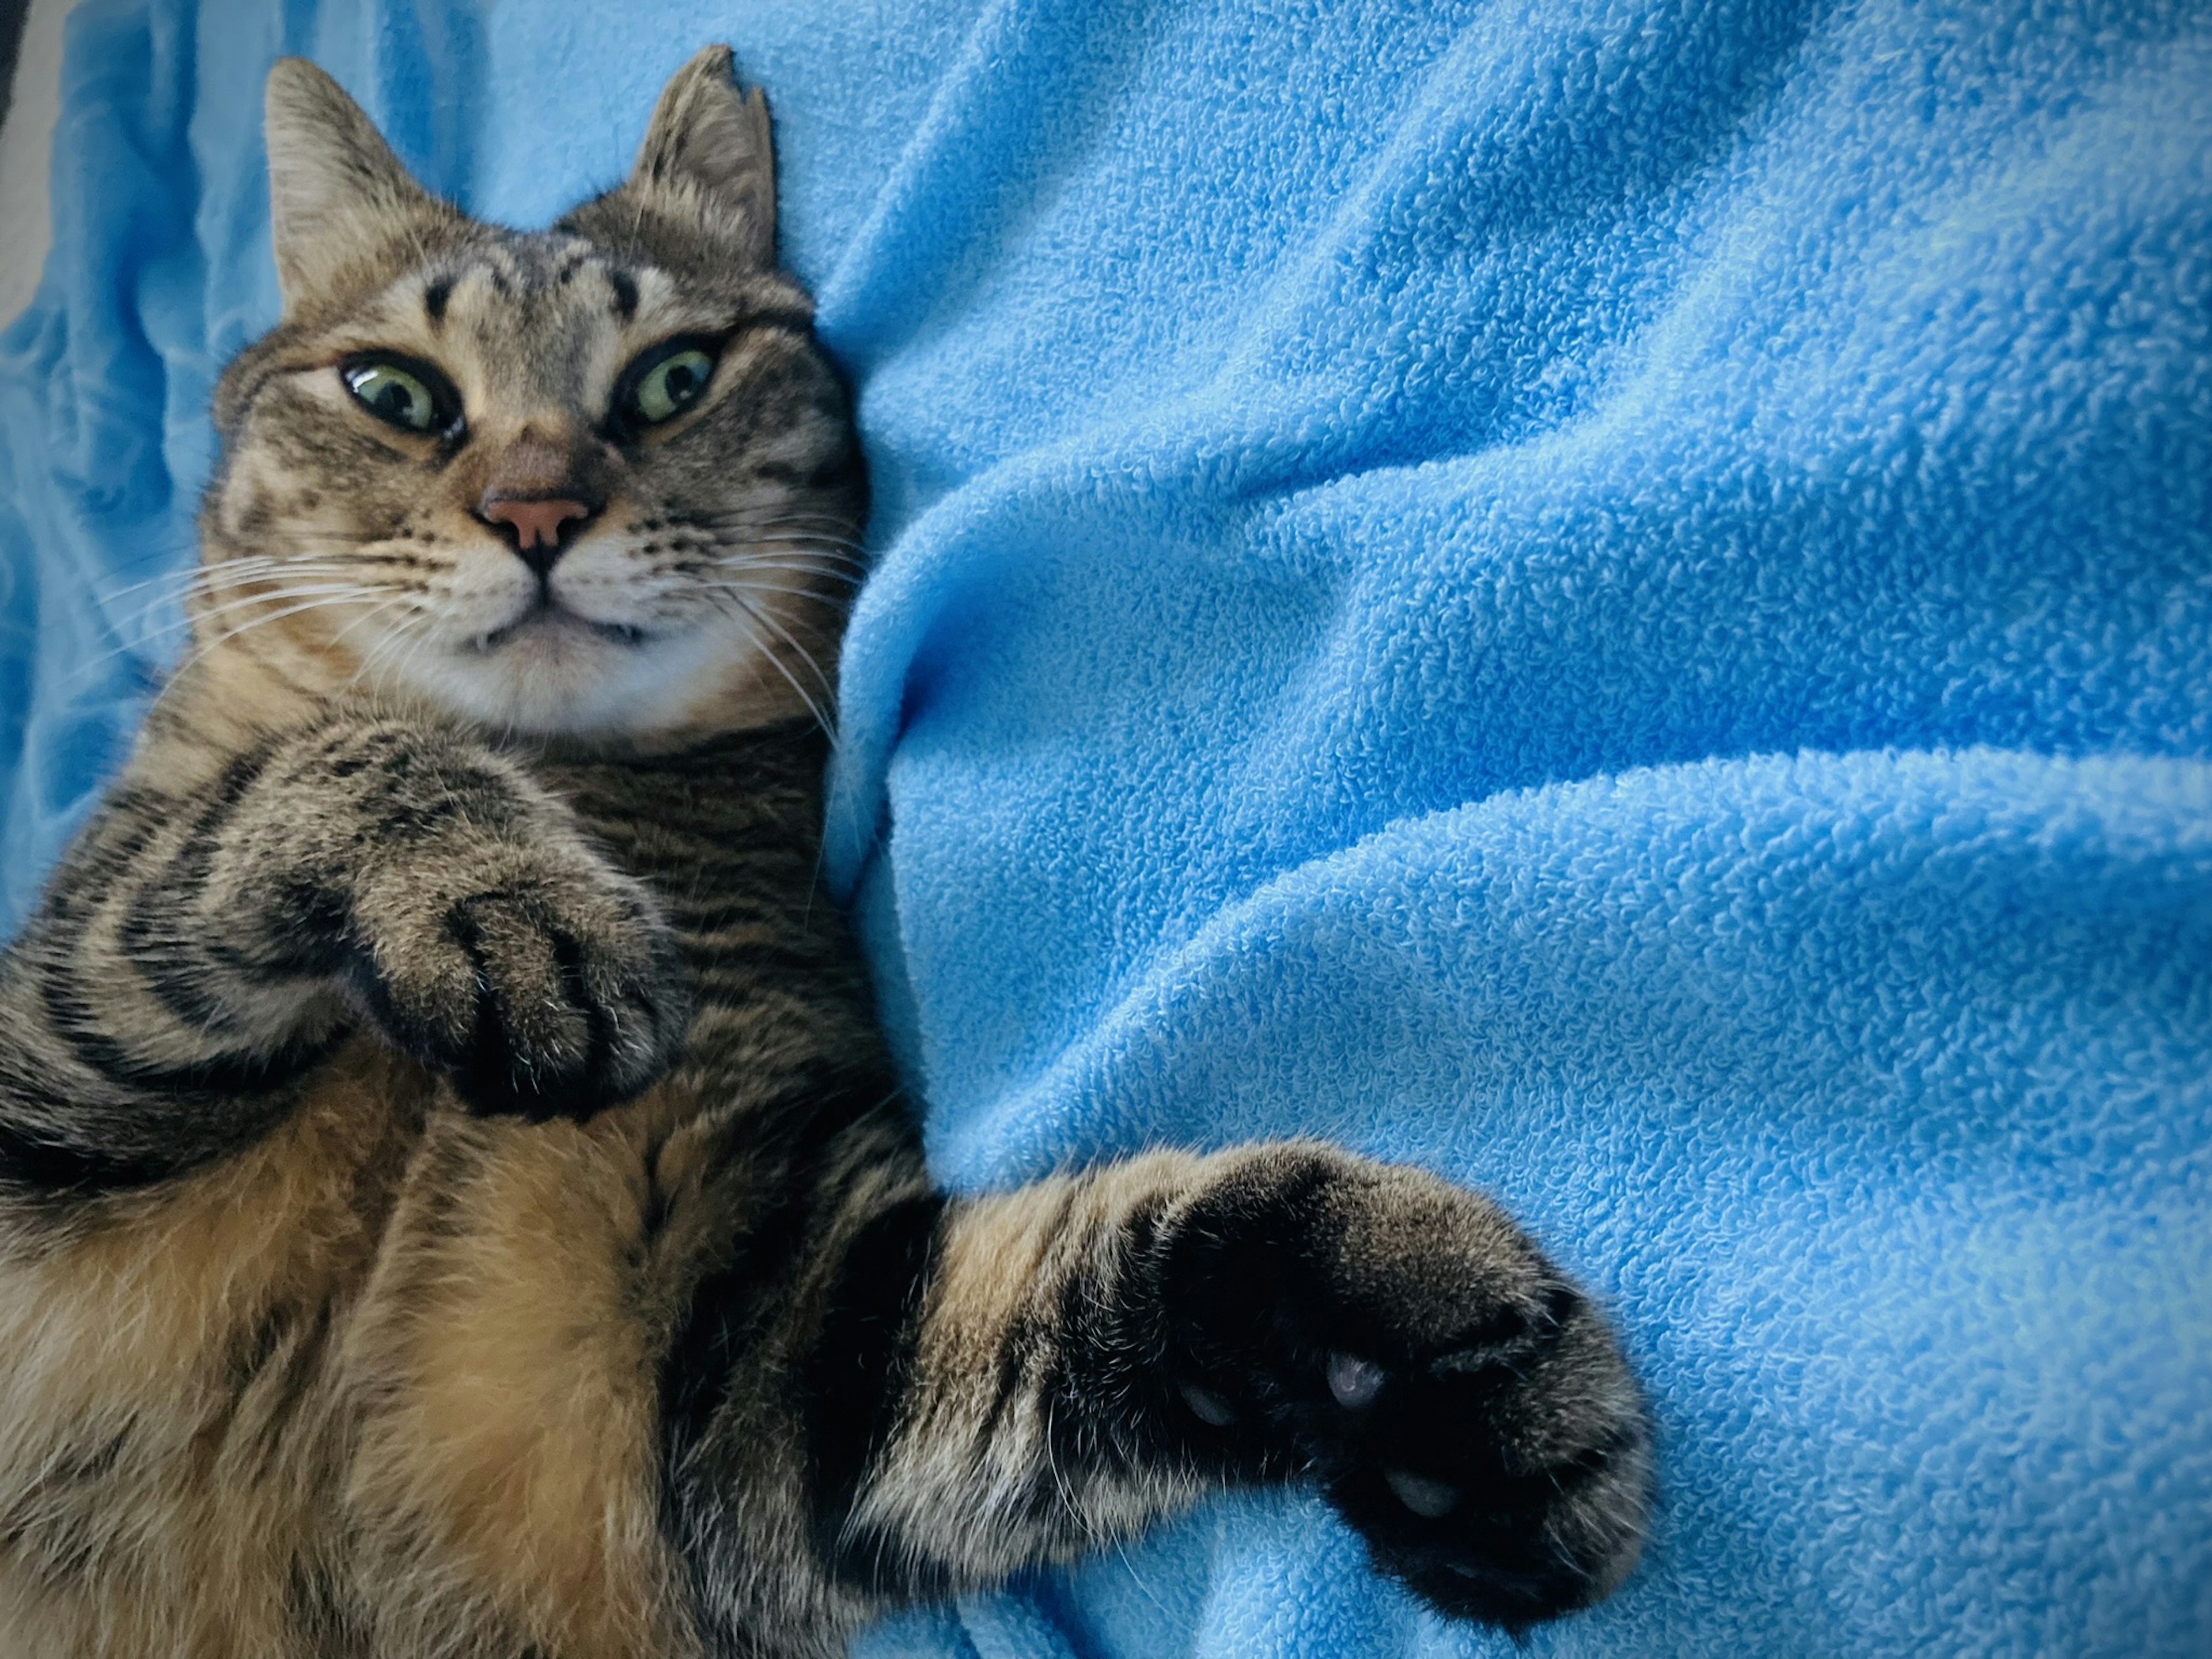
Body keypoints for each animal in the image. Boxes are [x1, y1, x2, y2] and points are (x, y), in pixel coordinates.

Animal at [0, 52, 1654, 1659]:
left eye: (674, 379)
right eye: (393, 392)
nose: (536, 508)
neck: (572, 785)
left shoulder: (746, 1356)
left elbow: (1068, 1290)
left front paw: (1416, 1334)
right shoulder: (43, 1051)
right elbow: (317, 774)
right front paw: (510, 903)